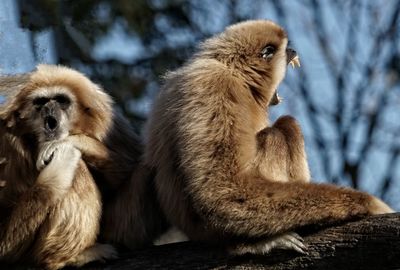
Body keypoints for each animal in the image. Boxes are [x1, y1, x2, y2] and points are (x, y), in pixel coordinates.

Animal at [0, 65, 117, 268]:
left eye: (61, 100)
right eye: (40, 102)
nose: (49, 107)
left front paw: (67, 142)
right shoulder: (5, 140)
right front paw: (59, 166)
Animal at [144, 20, 394, 256]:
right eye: (286, 50)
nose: (293, 50)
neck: (234, 71)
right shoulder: (215, 87)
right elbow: (220, 191)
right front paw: (370, 204)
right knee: (281, 128)